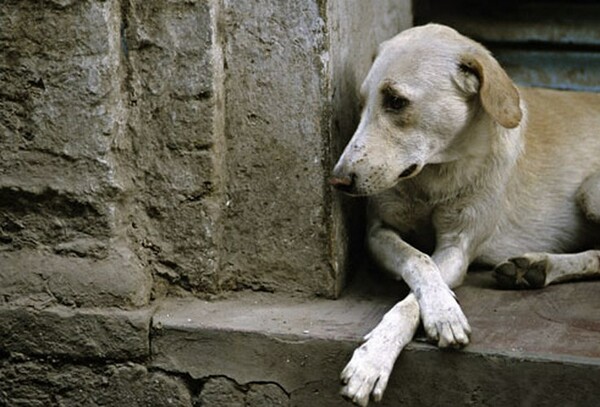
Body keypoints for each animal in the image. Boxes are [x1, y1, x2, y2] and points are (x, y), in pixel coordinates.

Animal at [330, 23, 600, 406]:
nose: (337, 180)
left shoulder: (458, 247)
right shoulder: (378, 232)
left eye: (396, 101)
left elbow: (413, 296)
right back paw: (534, 267)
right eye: (362, 103)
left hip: (591, 192)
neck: (434, 176)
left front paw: (377, 356)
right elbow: (419, 261)